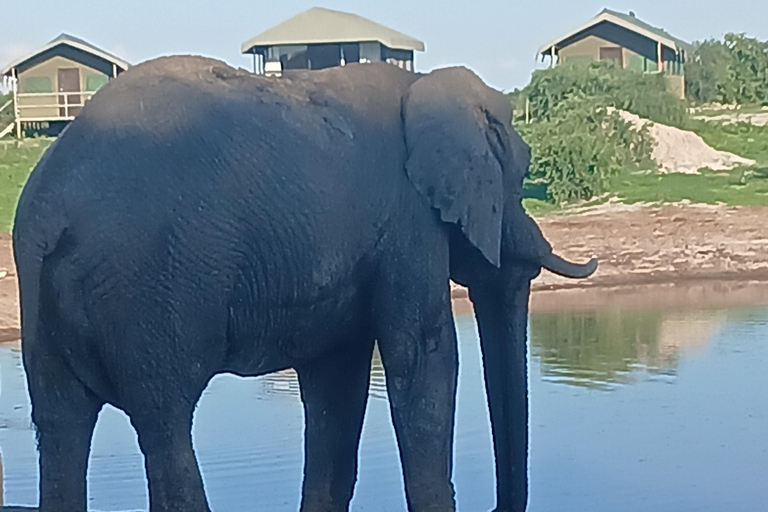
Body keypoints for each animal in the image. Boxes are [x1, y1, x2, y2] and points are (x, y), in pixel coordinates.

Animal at [13, 56, 596, 512]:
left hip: (46, 300)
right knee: (164, 429)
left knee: (60, 426)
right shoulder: (408, 224)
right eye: (518, 179)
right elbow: (424, 356)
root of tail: (52, 210)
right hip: (149, 289)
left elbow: (336, 386)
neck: (425, 86)